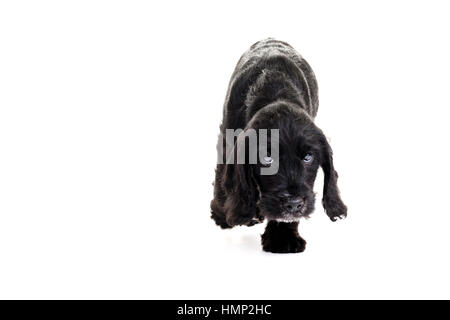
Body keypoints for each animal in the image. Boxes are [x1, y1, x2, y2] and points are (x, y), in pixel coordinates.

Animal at [211, 38, 348, 252]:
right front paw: (226, 213)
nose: (293, 204)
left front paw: (282, 238)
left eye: (308, 157)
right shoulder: (228, 138)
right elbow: (225, 178)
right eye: (267, 158)